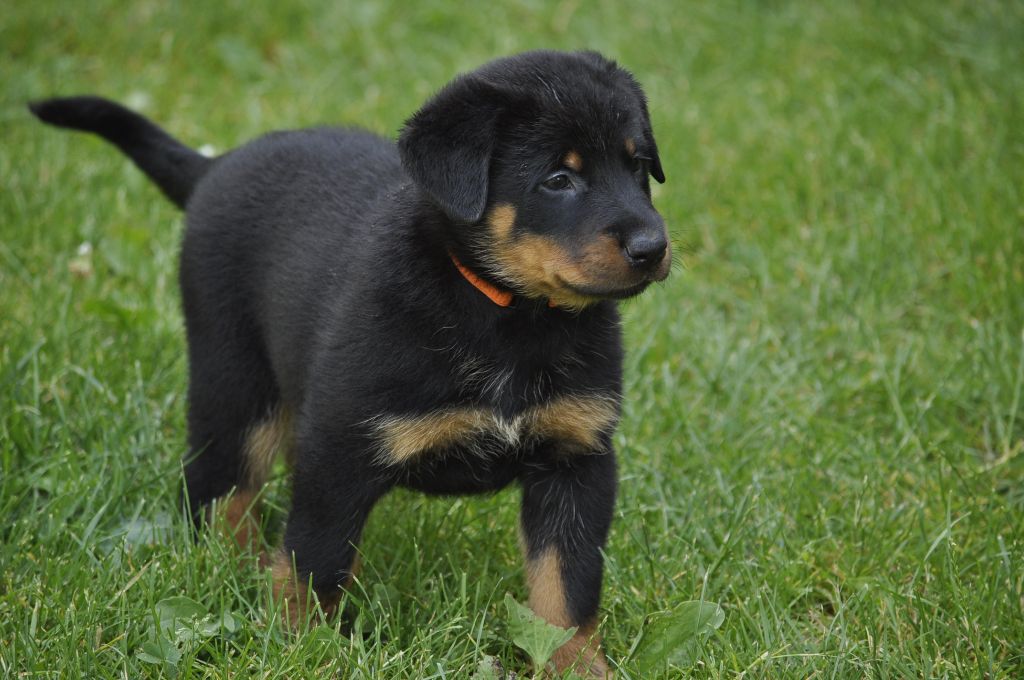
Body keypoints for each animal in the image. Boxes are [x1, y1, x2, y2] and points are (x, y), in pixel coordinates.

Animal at [29, 49, 671, 675]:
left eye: (639, 166)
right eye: (558, 178)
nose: (653, 247)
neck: (507, 316)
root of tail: (218, 165)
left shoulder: (577, 457)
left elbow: (566, 585)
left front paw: (578, 663)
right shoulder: (340, 448)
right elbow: (317, 556)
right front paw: (302, 645)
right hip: (233, 382)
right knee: (221, 494)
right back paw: (236, 568)